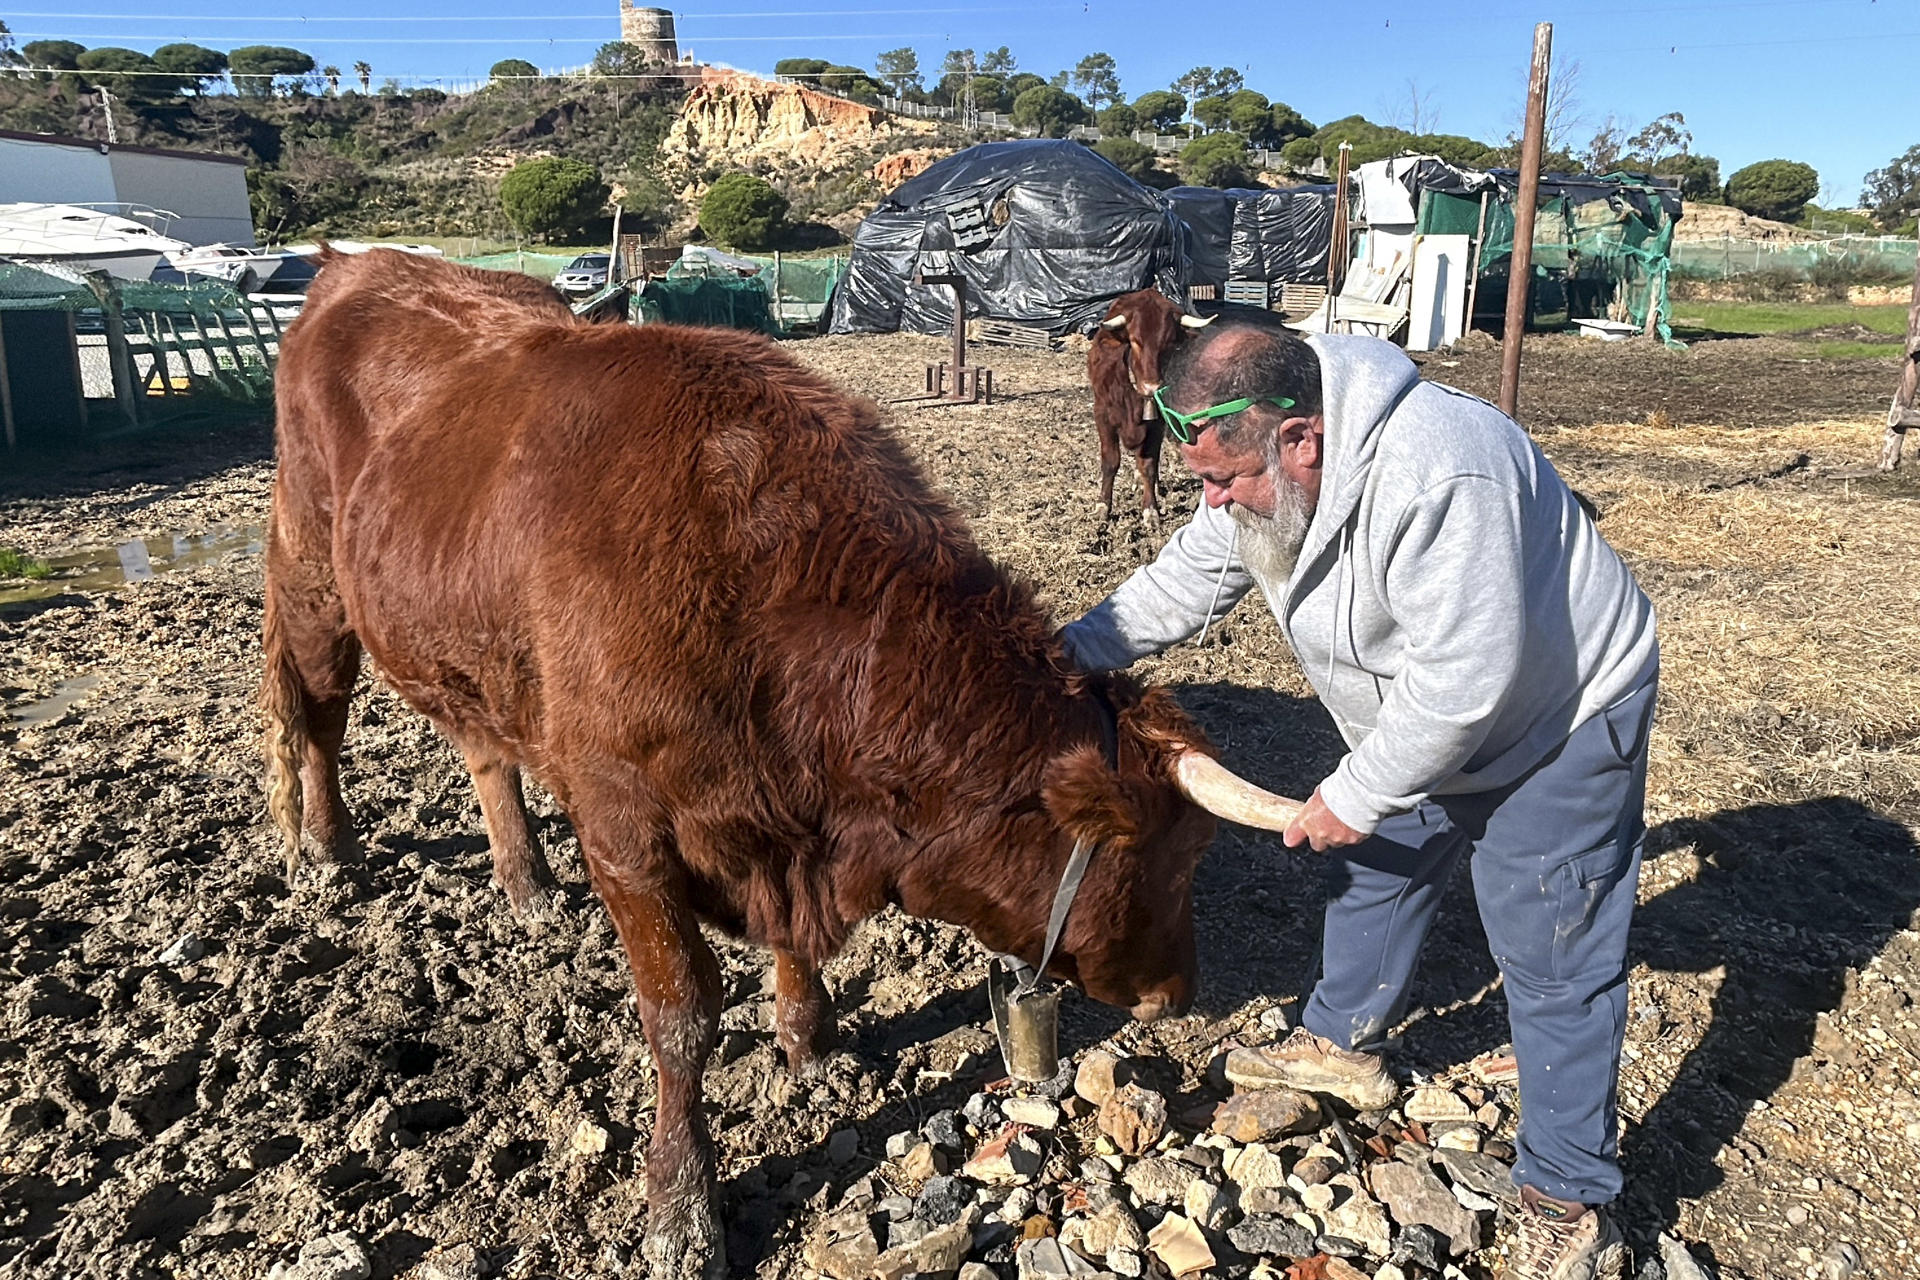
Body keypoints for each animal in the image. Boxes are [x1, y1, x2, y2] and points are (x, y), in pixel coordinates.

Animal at [1088, 289, 1209, 525]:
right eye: (1135, 341)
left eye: (1169, 343)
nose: (1152, 387)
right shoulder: (1103, 415)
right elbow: (1110, 462)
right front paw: (1102, 506)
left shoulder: (1157, 424)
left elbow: (1149, 465)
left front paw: (1150, 509)